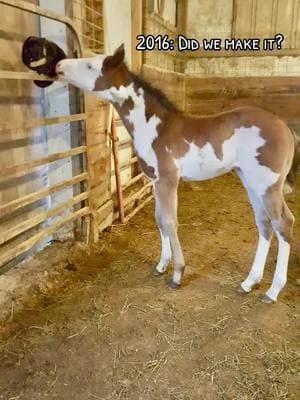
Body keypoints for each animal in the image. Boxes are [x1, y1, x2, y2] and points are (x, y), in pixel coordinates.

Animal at [56, 45, 296, 302]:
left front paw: (177, 274)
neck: (155, 128)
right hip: (251, 182)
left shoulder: (168, 180)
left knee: (283, 222)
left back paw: (273, 290)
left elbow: (170, 222)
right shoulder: (155, 181)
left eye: (91, 65)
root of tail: (285, 128)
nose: (59, 66)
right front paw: (162, 265)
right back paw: (249, 282)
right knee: (264, 223)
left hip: (267, 186)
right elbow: (159, 220)